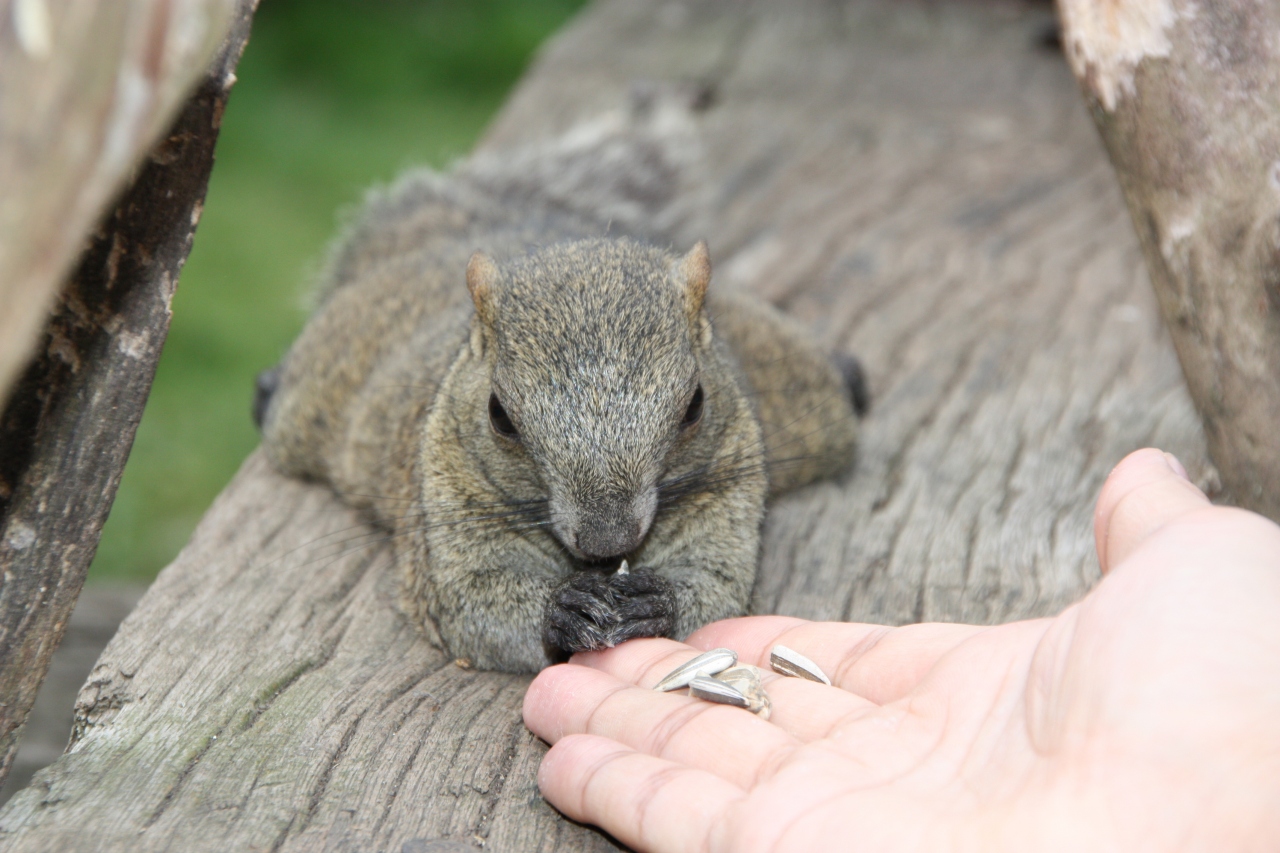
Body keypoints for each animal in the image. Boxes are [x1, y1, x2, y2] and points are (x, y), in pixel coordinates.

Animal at [253, 94, 865, 671]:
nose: (607, 542)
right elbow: (471, 605)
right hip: (325, 380)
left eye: (695, 405)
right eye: (499, 416)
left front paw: (655, 603)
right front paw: (564, 610)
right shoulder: (443, 501)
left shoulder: (731, 476)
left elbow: (718, 586)